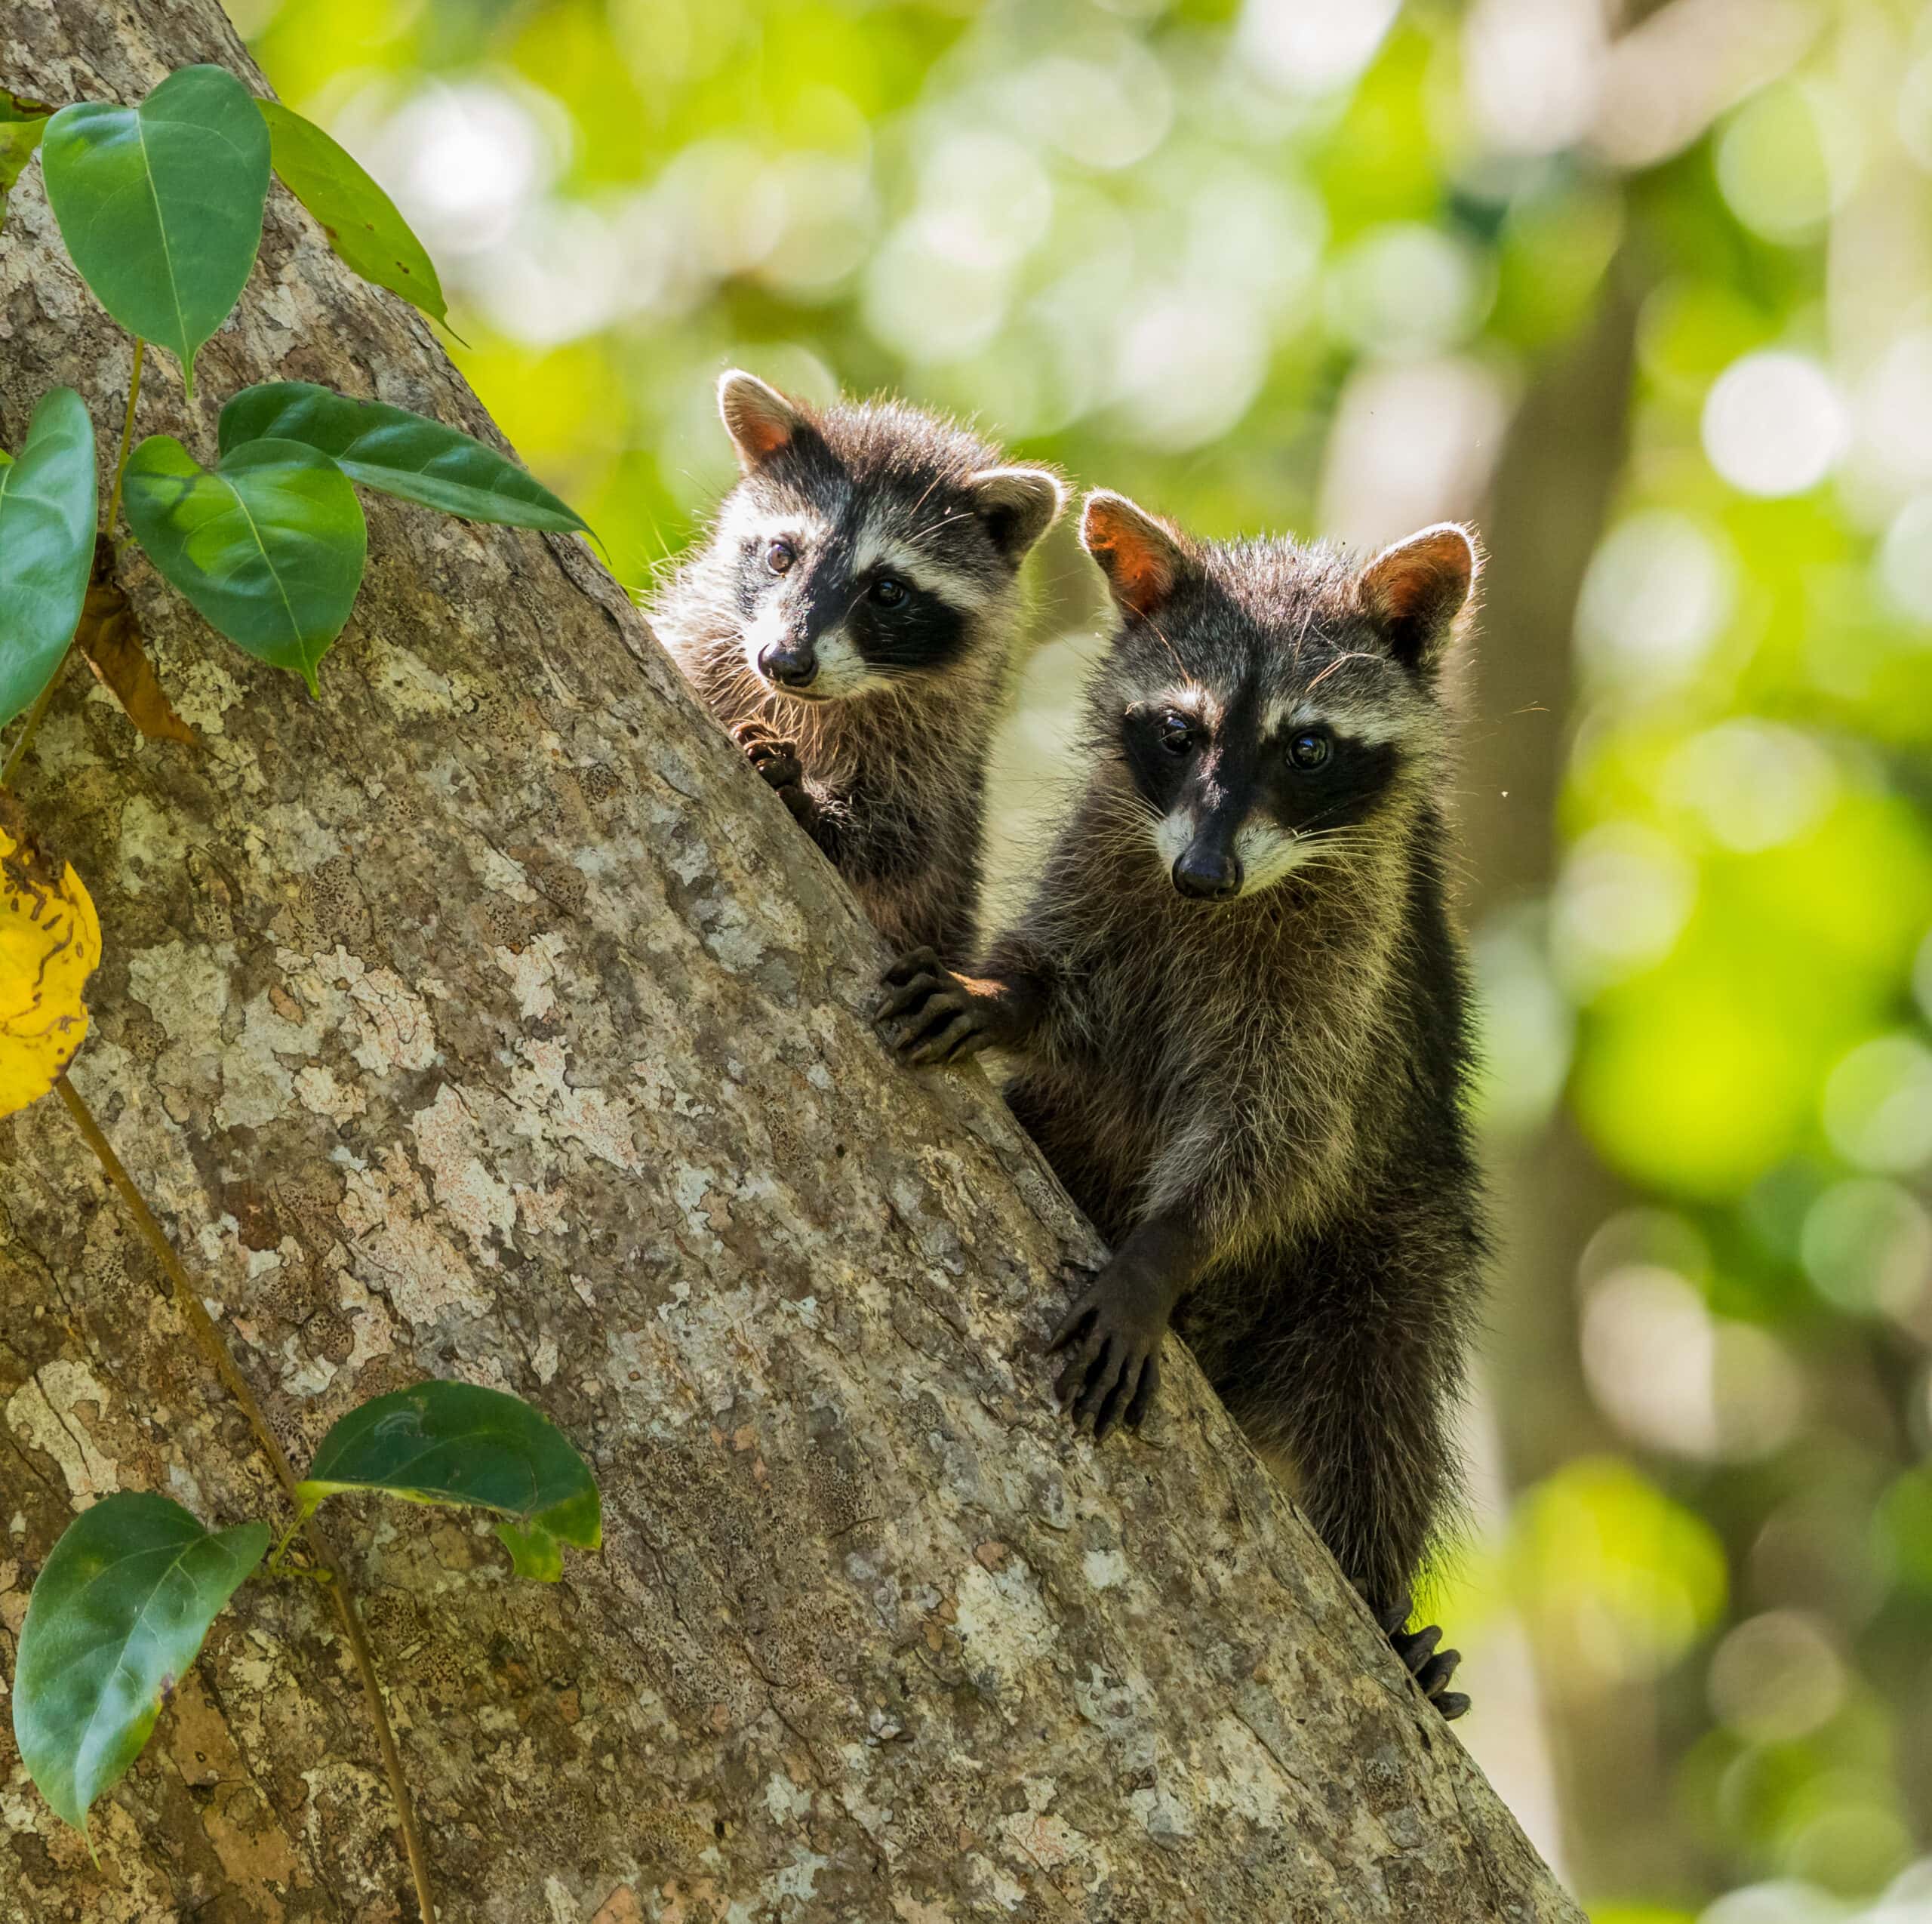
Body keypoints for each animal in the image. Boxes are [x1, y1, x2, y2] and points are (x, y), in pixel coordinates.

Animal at [649, 374, 1074, 962]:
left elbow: (905, 842)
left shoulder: (940, 746)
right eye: (780, 556)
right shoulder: (706, 641)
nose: (784, 661)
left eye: (889, 590)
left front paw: (810, 801)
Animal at [884, 492, 1484, 1715]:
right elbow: (1065, 985)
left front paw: (1165, 1246)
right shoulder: (1110, 852)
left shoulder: (1347, 968)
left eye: (1307, 746)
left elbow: (1282, 1135)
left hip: (1396, 1238)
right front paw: (1001, 995)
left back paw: (1381, 1600)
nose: (1202, 877)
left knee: (1382, 1394)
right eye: (1179, 732)